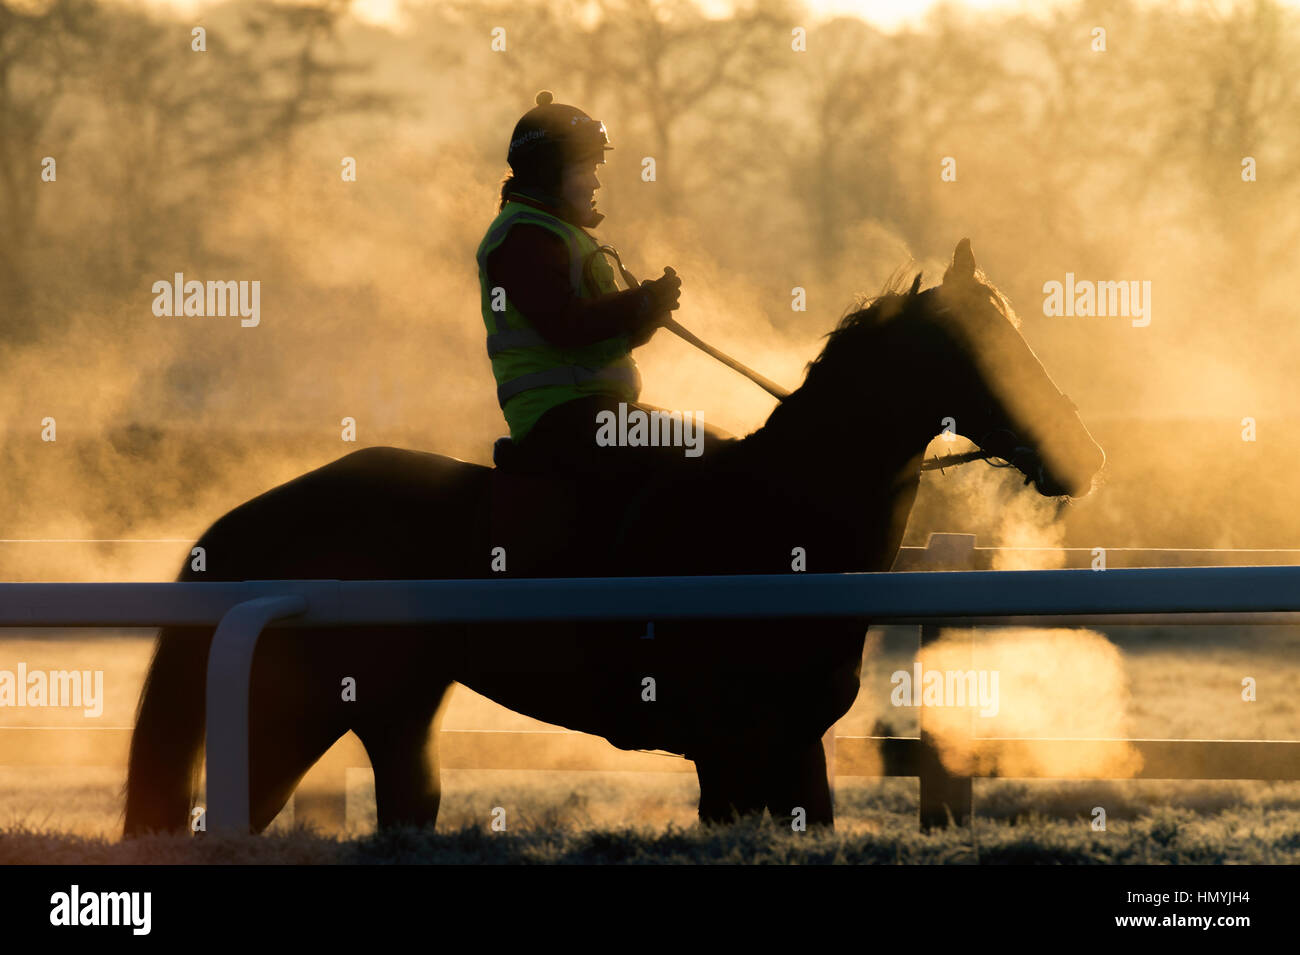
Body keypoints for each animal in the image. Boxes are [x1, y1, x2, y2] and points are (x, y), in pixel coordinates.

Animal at [123, 239, 1105, 836]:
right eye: (987, 346)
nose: (1082, 452)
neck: (781, 523)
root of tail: (245, 523)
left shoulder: (794, 749)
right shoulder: (730, 752)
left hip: (396, 714)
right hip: (302, 713)